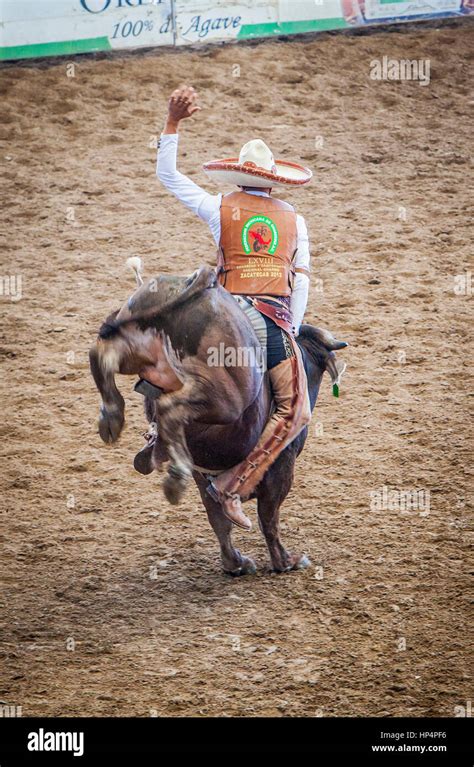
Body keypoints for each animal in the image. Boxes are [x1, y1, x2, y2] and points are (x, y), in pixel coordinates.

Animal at [90, 260, 348, 576]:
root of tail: (202, 286)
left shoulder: (204, 473)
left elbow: (218, 519)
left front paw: (235, 563)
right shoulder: (282, 466)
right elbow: (268, 517)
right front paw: (285, 561)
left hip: (136, 346)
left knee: (101, 355)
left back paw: (112, 417)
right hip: (225, 398)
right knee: (170, 408)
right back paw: (172, 476)